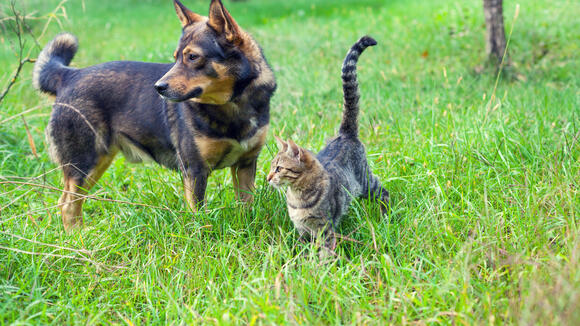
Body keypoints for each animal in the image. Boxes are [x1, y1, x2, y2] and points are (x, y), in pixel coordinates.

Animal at [31, 0, 276, 232]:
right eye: (176, 58)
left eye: (193, 57)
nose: (158, 87)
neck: (232, 105)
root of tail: (68, 75)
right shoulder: (194, 170)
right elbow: (199, 216)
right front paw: (201, 238)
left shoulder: (246, 164)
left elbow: (246, 206)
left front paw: (247, 229)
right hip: (84, 162)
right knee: (67, 204)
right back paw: (77, 237)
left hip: (95, 164)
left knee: (73, 202)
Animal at [268, 35, 390, 250]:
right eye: (271, 167)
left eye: (279, 168)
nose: (267, 178)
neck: (297, 198)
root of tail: (345, 133)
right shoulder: (302, 230)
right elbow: (302, 250)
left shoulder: (324, 229)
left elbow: (324, 253)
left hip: (366, 182)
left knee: (384, 192)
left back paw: (385, 215)